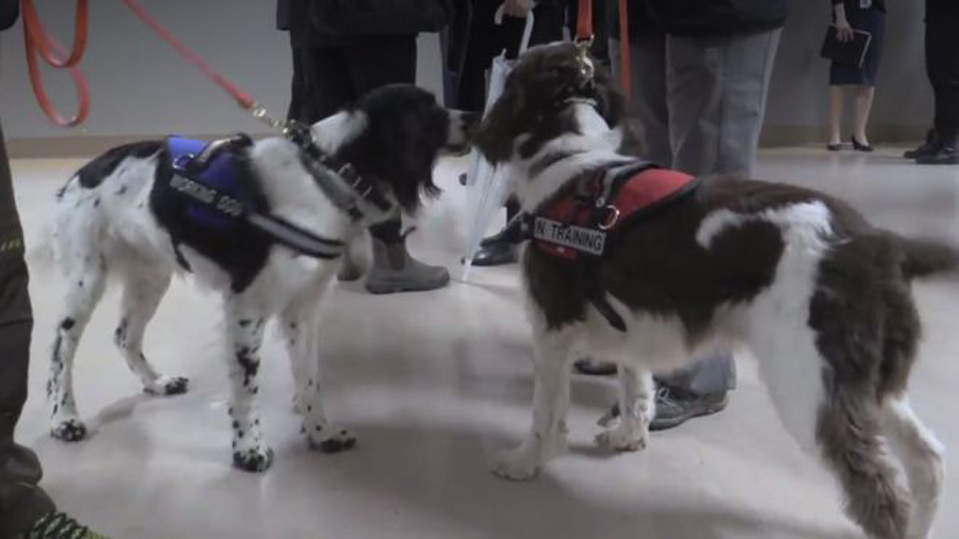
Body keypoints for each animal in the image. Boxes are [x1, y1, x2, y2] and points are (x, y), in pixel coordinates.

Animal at [48, 84, 476, 472]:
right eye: (429, 110)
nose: (474, 115)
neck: (327, 176)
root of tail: (84, 171)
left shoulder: (303, 309)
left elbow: (310, 379)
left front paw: (321, 433)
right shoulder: (246, 308)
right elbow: (247, 388)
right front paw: (248, 448)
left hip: (151, 276)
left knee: (125, 336)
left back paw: (157, 382)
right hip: (86, 280)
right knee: (60, 350)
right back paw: (64, 419)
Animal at [476, 43, 948, 539]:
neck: (572, 156)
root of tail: (879, 243)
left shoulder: (554, 327)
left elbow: (544, 413)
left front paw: (524, 462)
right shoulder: (631, 327)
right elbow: (635, 387)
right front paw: (628, 436)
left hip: (809, 382)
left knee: (879, 489)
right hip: (869, 380)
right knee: (929, 459)